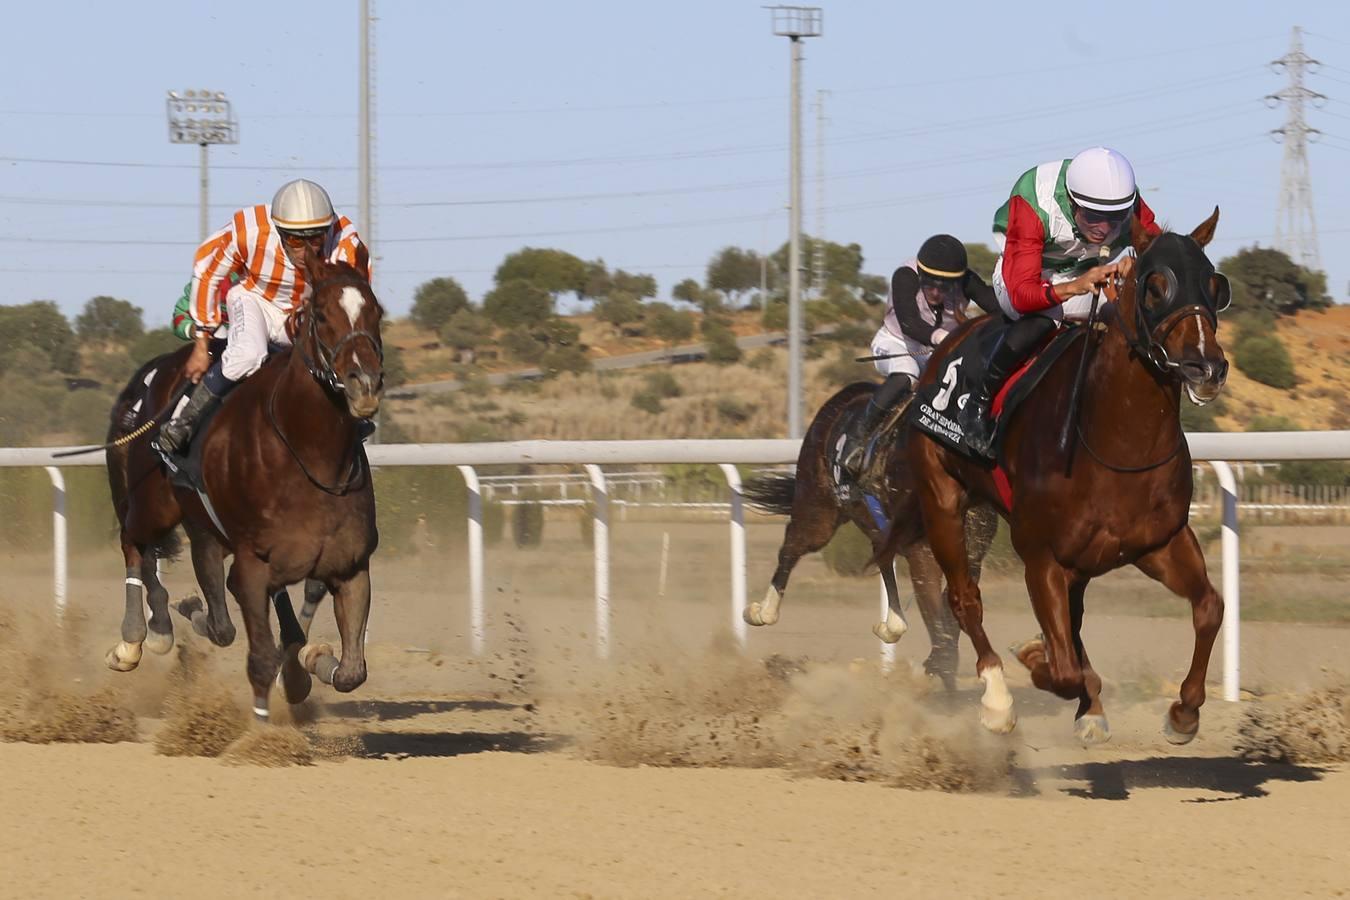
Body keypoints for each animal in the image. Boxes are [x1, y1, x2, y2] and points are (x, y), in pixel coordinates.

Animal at [101, 256, 380, 723]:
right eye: (323, 316)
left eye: (377, 313)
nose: (364, 384)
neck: (309, 453)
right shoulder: (250, 568)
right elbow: (261, 657)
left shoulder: (350, 565)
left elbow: (350, 672)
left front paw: (308, 666)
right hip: (151, 504)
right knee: (133, 543)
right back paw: (138, 638)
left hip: (203, 530)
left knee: (220, 616)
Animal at [739, 377, 1004, 682]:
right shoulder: (922, 554)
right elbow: (943, 635)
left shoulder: (971, 556)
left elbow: (950, 626)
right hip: (818, 511)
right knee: (791, 547)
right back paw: (762, 611)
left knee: (881, 555)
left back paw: (893, 624)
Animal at [896, 211, 1236, 744]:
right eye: (1155, 286)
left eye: (1215, 284)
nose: (1207, 367)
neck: (1114, 443)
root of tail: (946, 343)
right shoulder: (1041, 557)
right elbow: (1061, 668)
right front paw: (1035, 659)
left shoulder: (1159, 542)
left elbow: (1209, 607)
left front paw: (1184, 713)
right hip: (943, 499)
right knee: (964, 598)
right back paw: (997, 700)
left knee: (1072, 621)